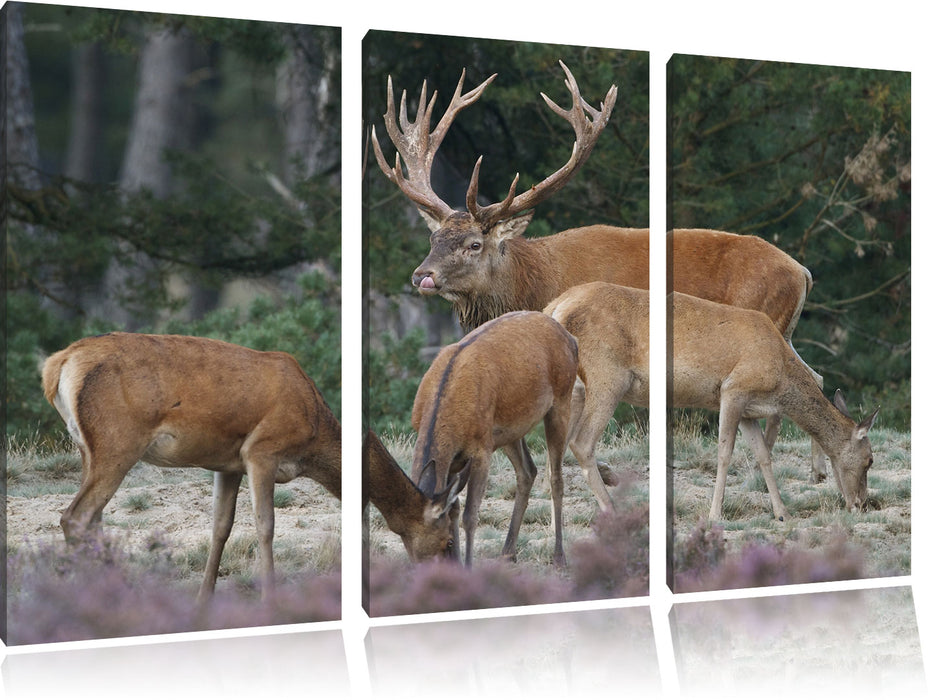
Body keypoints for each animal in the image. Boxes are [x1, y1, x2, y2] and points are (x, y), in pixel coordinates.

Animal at [41, 334, 340, 600]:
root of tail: (56, 365)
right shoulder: (261, 450)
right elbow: (265, 525)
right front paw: (269, 598)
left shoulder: (229, 464)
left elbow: (221, 526)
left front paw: (203, 599)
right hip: (117, 444)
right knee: (76, 516)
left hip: (87, 449)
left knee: (95, 518)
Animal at [370, 61, 824, 498]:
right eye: (434, 238)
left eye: (474, 244)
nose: (422, 276)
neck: (535, 283)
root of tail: (802, 272)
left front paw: (592, 475)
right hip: (783, 328)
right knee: (813, 376)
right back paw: (817, 470)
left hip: (763, 318)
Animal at [406, 308, 580, 568]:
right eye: (407, 543)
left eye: (442, 541)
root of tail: (572, 339)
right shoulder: (454, 460)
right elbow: (453, 509)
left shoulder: (481, 449)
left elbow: (470, 515)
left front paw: (468, 567)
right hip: (509, 431)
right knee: (527, 471)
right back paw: (507, 552)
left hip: (560, 401)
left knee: (555, 478)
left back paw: (559, 556)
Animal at [544, 284, 880, 520]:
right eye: (869, 460)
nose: (860, 504)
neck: (779, 380)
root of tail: (555, 307)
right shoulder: (733, 389)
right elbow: (725, 454)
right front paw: (715, 514)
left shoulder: (749, 411)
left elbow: (763, 455)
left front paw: (783, 513)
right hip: (607, 376)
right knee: (581, 442)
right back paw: (613, 510)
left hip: (577, 389)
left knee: (558, 446)